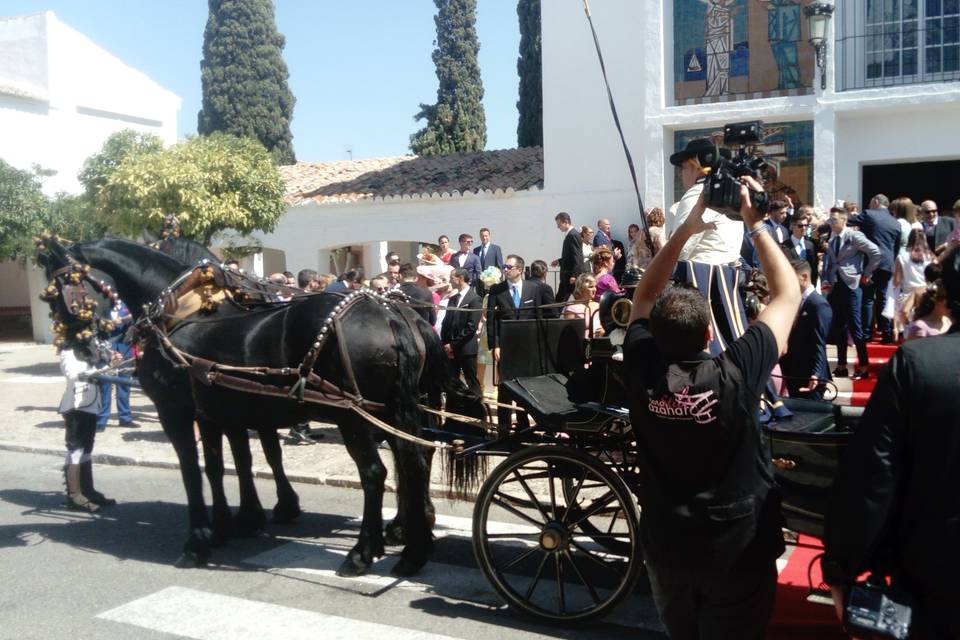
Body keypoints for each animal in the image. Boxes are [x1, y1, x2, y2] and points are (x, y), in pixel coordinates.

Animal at [37, 236, 480, 576]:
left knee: (377, 473)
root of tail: (390, 312)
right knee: (414, 461)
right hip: (399, 408)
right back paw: (412, 545)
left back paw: (363, 552)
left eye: (56, 290)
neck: (179, 311)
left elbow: (195, 472)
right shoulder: (221, 410)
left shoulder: (176, 411)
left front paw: (199, 540)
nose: (77, 346)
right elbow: (230, 464)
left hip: (354, 415)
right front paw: (237, 520)